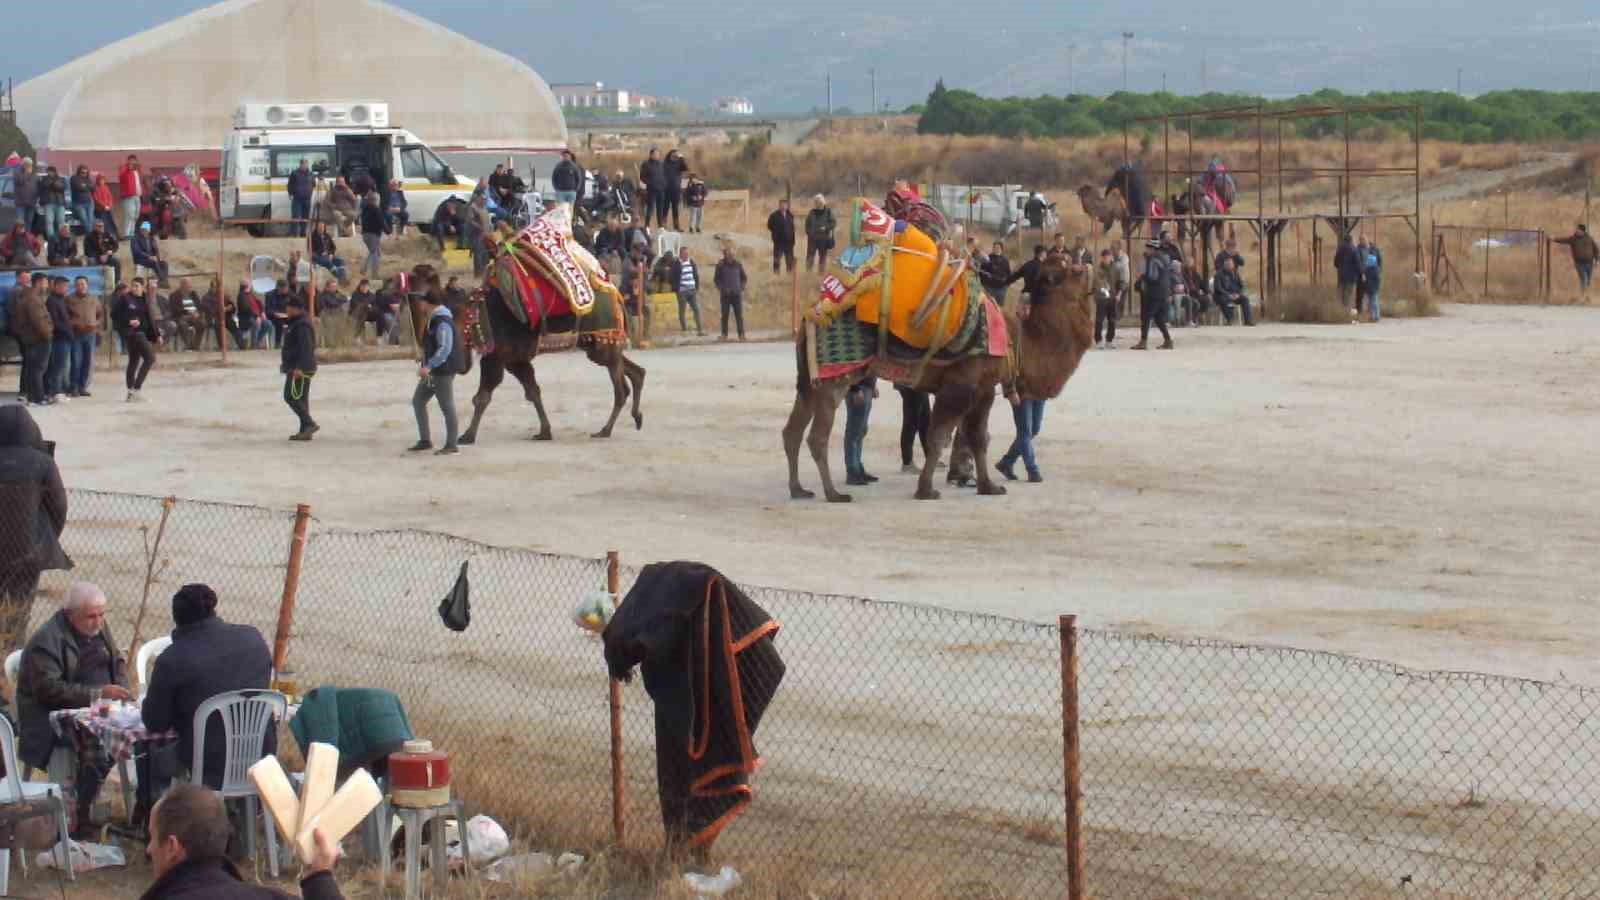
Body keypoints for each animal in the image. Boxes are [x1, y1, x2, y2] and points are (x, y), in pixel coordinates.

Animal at [406, 262, 649, 441]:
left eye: (416, 277)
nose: (409, 291)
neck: (471, 315)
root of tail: (617, 295)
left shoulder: (496, 356)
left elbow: (482, 397)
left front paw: (467, 436)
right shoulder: (515, 360)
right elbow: (533, 391)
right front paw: (544, 432)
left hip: (601, 342)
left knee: (621, 388)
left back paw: (605, 430)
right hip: (596, 343)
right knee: (636, 371)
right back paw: (636, 417)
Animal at [780, 256, 1094, 499]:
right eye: (1071, 268)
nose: (1091, 268)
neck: (1014, 339)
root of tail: (811, 315)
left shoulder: (984, 389)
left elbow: (979, 438)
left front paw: (988, 486)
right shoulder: (960, 384)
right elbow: (939, 436)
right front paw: (926, 490)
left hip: (807, 379)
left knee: (792, 431)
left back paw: (798, 490)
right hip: (836, 376)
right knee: (817, 437)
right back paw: (834, 494)